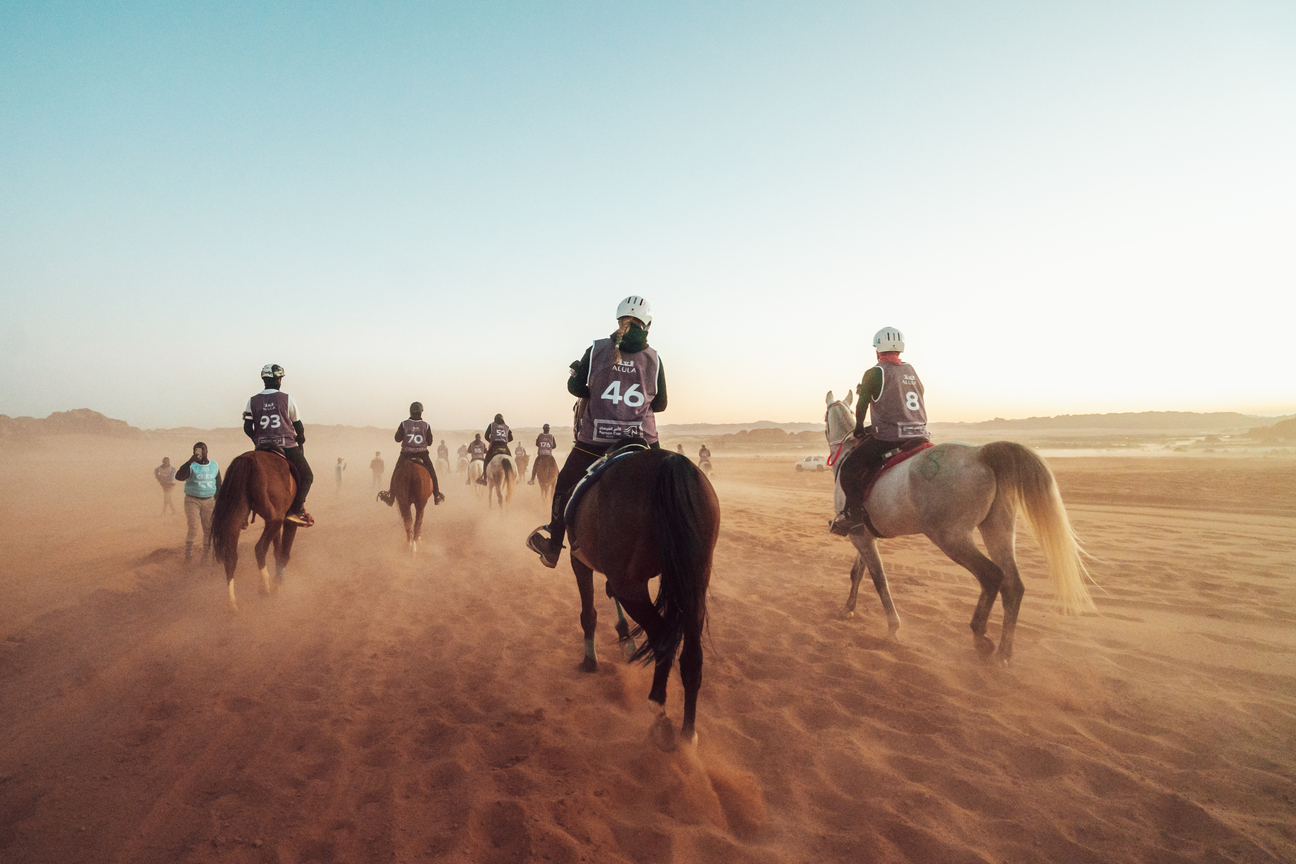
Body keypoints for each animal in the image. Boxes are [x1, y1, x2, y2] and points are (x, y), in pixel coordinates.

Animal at [211, 450, 299, 611]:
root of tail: (248, 459)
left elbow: (277, 550)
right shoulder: (288, 518)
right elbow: (284, 551)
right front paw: (277, 583)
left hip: (237, 517)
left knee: (231, 557)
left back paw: (232, 604)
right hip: (275, 519)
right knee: (260, 547)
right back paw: (265, 587)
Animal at [565, 453, 720, 751]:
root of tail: (669, 464)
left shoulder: (581, 561)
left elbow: (588, 612)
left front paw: (590, 659)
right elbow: (608, 594)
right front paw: (625, 638)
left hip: (631, 584)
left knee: (662, 637)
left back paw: (660, 715)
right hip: (694, 580)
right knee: (691, 655)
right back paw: (688, 734)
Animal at [819, 391, 1093, 663]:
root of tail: (980, 453)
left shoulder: (860, 537)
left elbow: (879, 580)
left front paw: (893, 628)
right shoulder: (864, 535)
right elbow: (858, 572)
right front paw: (848, 608)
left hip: (951, 538)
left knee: (991, 576)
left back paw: (980, 636)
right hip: (997, 529)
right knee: (1013, 585)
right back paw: (1004, 652)